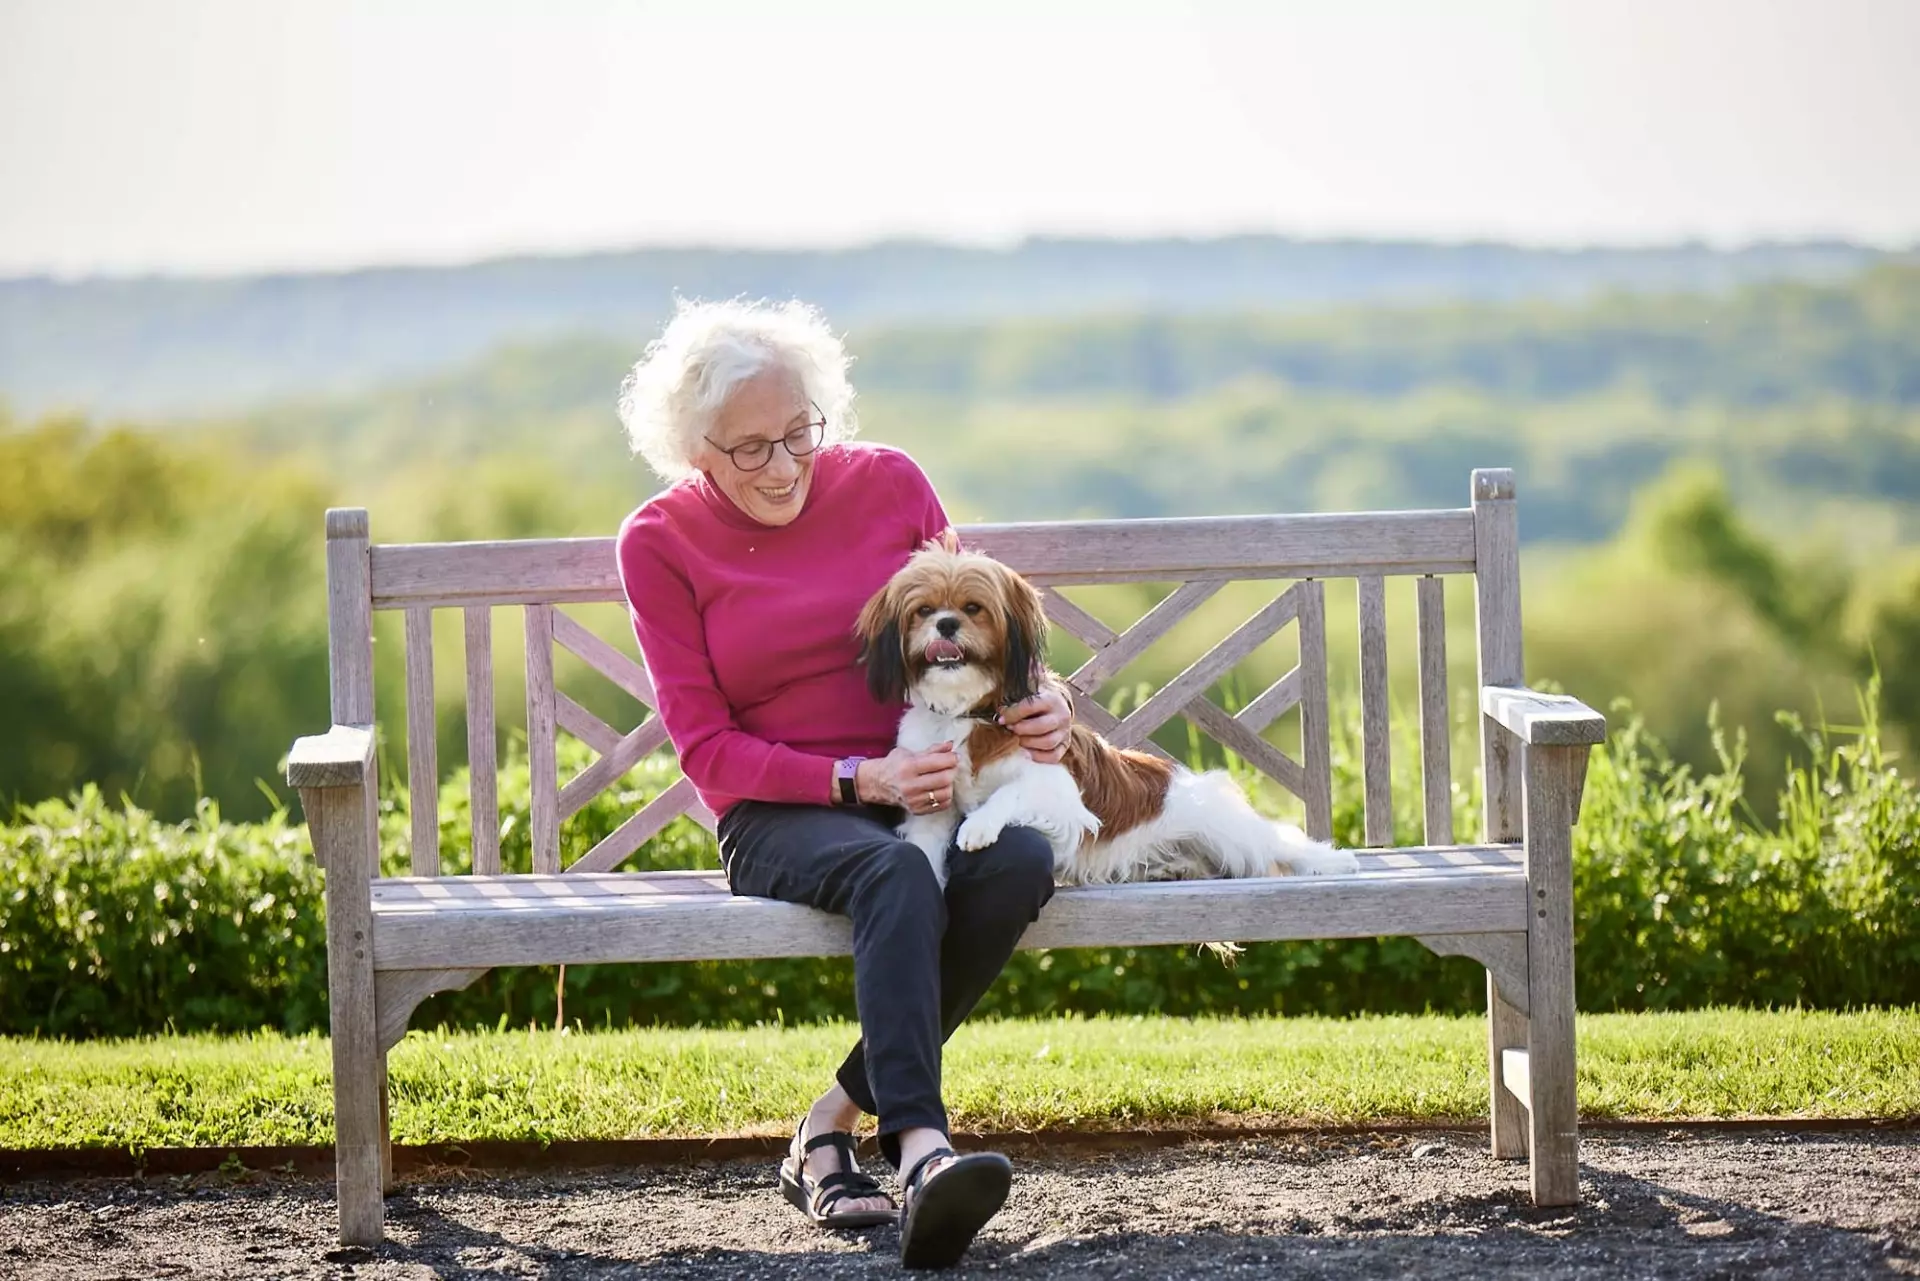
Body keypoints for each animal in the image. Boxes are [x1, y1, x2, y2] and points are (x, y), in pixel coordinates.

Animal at [856, 541, 1351, 891]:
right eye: (922, 611)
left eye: (973, 609)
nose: (945, 623)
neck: (969, 713)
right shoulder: (932, 807)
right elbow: (925, 851)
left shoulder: (1058, 793)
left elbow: (1009, 793)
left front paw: (978, 826)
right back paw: (1171, 868)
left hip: (1228, 830)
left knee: (1275, 844)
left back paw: (1325, 861)